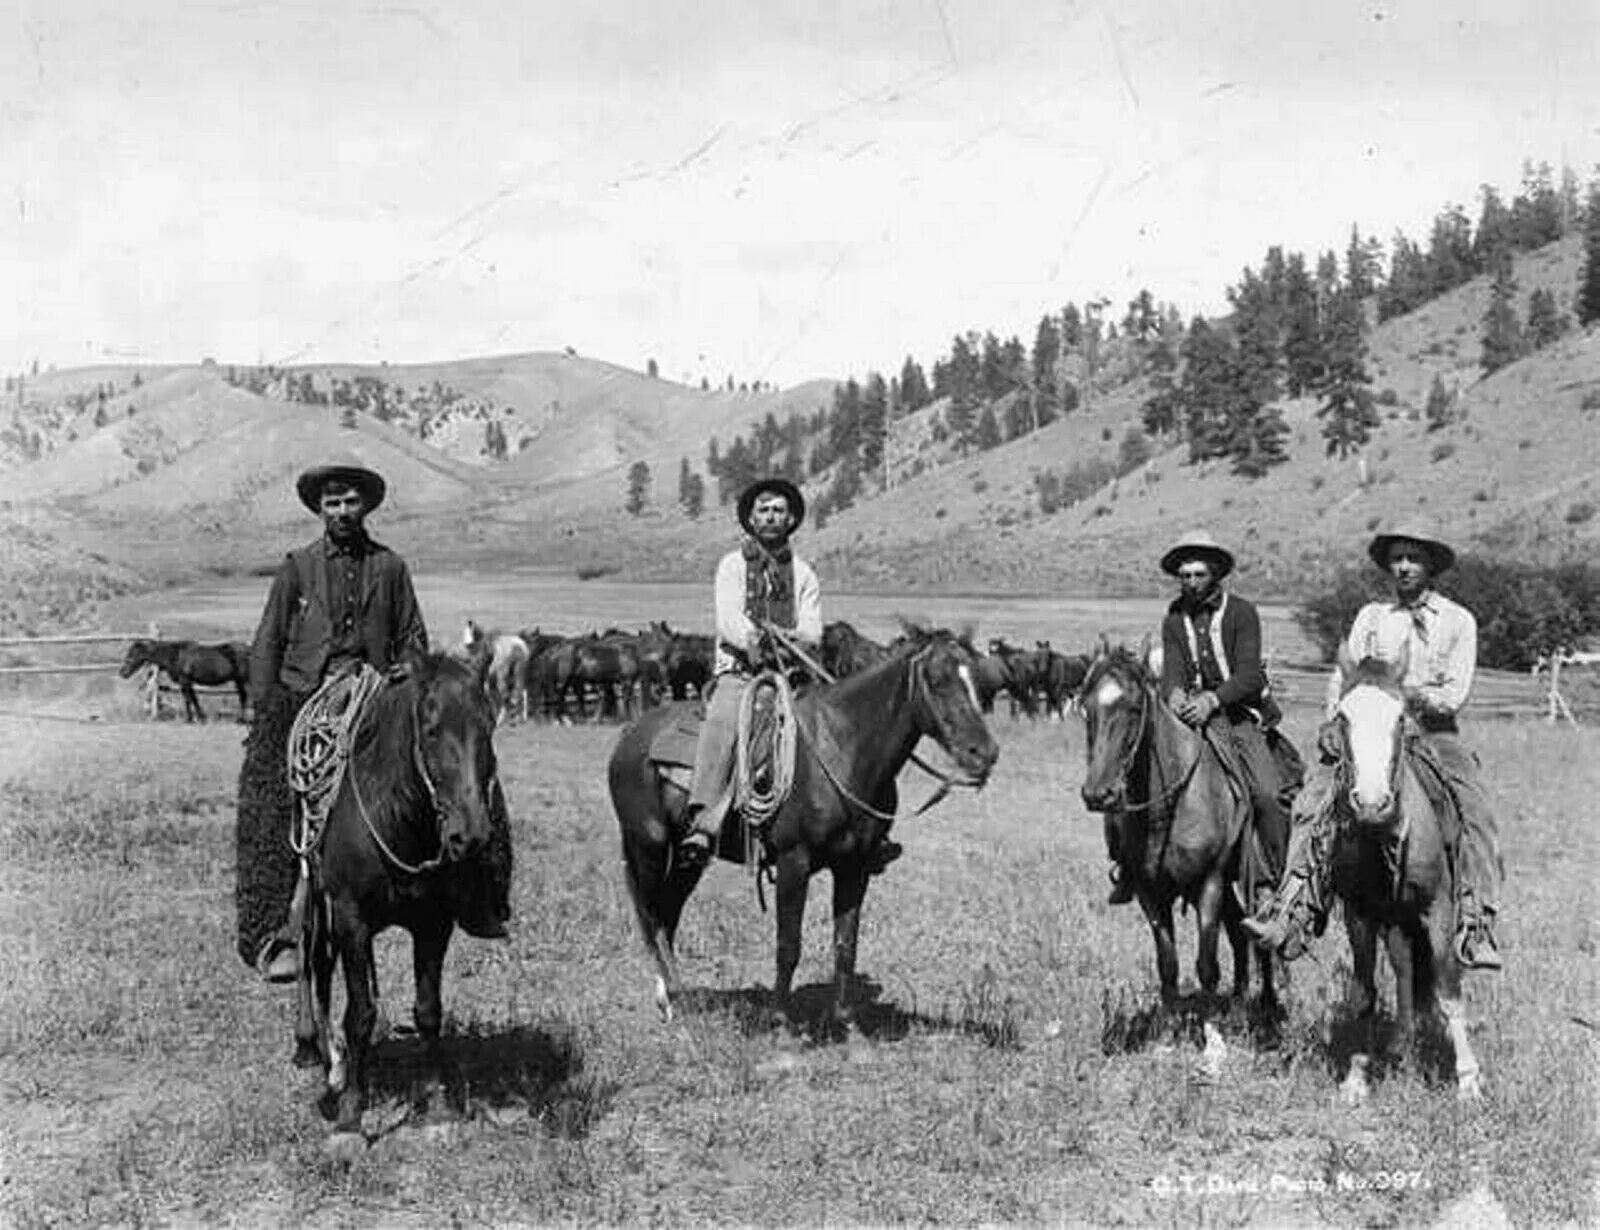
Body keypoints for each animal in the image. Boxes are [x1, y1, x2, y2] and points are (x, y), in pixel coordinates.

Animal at [120, 639, 249, 722]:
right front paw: (197, 718)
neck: (176, 655)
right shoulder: (186, 682)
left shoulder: (185, 680)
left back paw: (241, 720)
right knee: (243, 697)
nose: (122, 673)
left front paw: (193, 719)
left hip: (241, 680)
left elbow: (189, 699)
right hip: (239, 681)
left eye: (132, 655)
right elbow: (191, 698)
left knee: (244, 697)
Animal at [291, 646, 508, 1138]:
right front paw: (351, 1115)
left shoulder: (434, 923)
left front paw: (438, 1106)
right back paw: (322, 1058)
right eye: (431, 730)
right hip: (318, 904)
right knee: (315, 967)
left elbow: (428, 1010)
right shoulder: (350, 918)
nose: (470, 836)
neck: (397, 820)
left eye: (488, 727)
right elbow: (360, 1014)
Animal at [604, 626, 992, 1030]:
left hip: (688, 856)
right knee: (651, 914)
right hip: (647, 846)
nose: (984, 752)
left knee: (668, 911)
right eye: (938, 680)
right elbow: (788, 944)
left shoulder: (854, 866)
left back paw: (678, 994)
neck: (841, 750)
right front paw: (778, 1019)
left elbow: (845, 945)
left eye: (978, 681)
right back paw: (669, 998)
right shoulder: (794, 861)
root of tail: (630, 733)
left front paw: (845, 1020)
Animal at [1075, 642, 1273, 1023]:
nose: (1098, 794)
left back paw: (1268, 1004)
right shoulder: (1150, 893)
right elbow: (1168, 967)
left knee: (1261, 934)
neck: (1170, 807)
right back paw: (1238, 1002)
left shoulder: (1209, 883)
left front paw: (1211, 1032)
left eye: (1134, 708)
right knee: (1239, 932)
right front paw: (1167, 1028)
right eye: (1086, 708)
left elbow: (1207, 966)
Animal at [1324, 652, 1484, 1100]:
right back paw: (1400, 1043)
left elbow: (1448, 989)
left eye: (1400, 717)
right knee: (1405, 971)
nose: (1371, 803)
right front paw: (1356, 1076)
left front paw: (1468, 1080)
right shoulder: (1359, 914)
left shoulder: (1438, 909)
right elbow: (1363, 993)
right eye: (1343, 716)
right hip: (1395, 920)